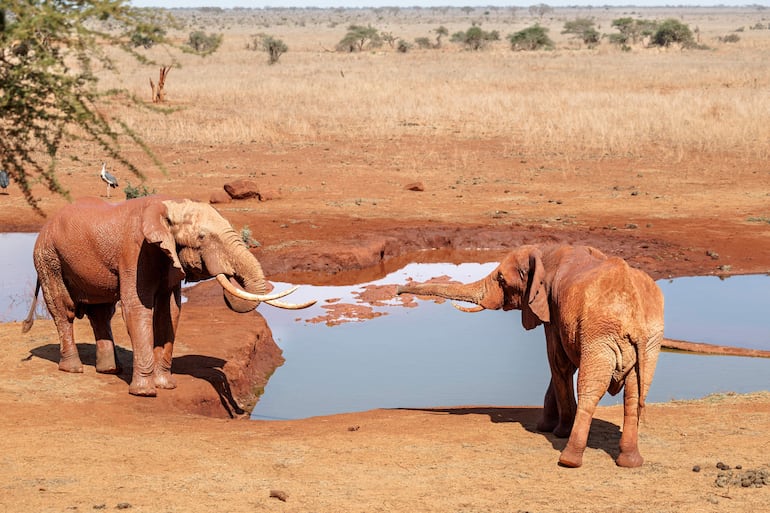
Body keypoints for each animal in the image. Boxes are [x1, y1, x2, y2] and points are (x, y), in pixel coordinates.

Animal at [22, 195, 314, 396]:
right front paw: (145, 392)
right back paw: (73, 368)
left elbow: (169, 312)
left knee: (101, 313)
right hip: (48, 258)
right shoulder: (136, 251)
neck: (169, 206)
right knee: (64, 310)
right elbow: (138, 309)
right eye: (202, 237)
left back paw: (109, 370)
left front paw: (166, 386)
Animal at [396, 244, 660, 468]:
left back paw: (568, 460)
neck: (545, 252)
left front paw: (558, 431)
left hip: (602, 334)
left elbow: (558, 363)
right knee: (635, 392)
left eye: (501, 279)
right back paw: (631, 462)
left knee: (591, 388)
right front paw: (546, 427)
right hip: (651, 342)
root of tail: (634, 316)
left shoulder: (552, 308)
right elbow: (561, 366)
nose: (398, 290)